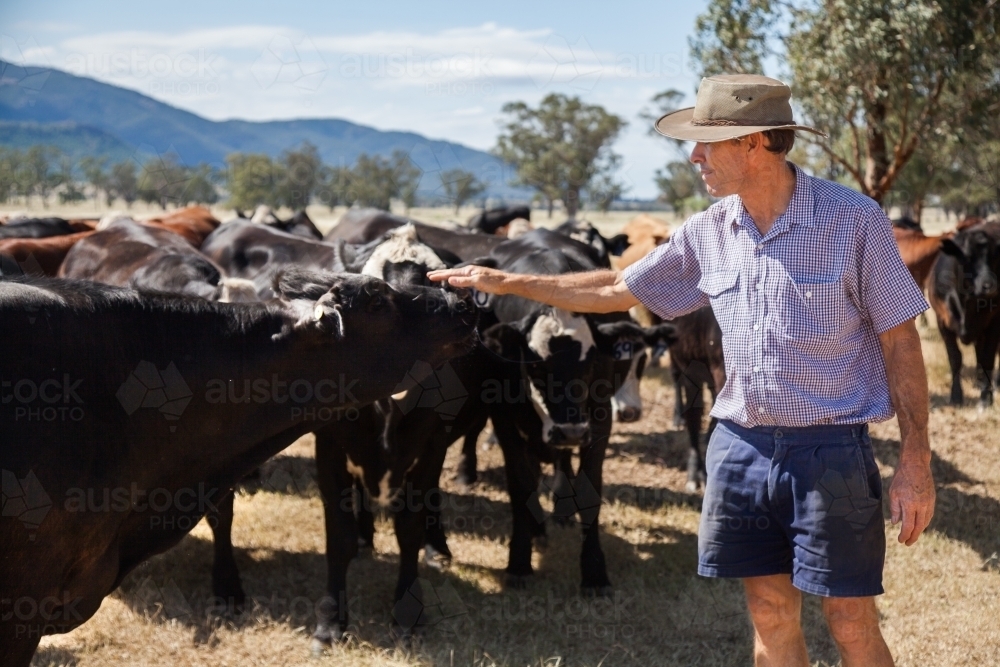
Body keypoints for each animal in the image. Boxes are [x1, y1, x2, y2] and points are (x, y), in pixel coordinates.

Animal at [929, 221, 1000, 408]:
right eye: (967, 256)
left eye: (995, 255)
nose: (989, 285)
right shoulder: (942, 322)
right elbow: (955, 358)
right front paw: (956, 396)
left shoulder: (994, 324)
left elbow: (988, 358)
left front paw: (986, 398)